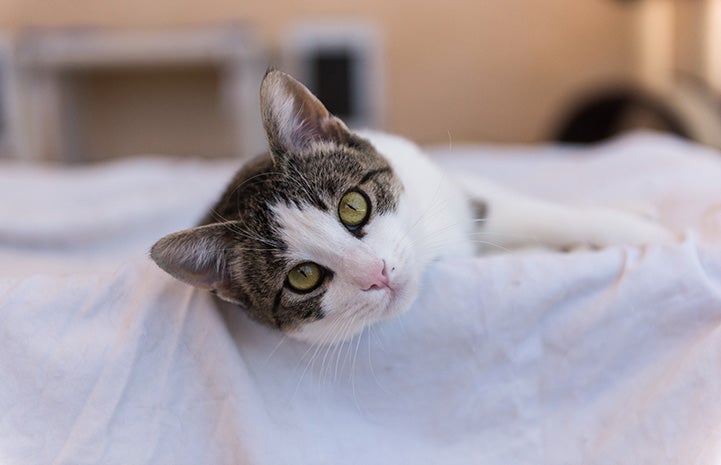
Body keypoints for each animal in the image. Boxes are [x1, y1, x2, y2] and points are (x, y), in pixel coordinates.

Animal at [150, 70, 676, 344]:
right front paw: (574, 251)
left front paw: (642, 230)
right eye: (303, 276)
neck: (431, 253)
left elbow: (537, 212)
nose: (377, 273)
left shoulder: (460, 195)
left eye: (353, 207)